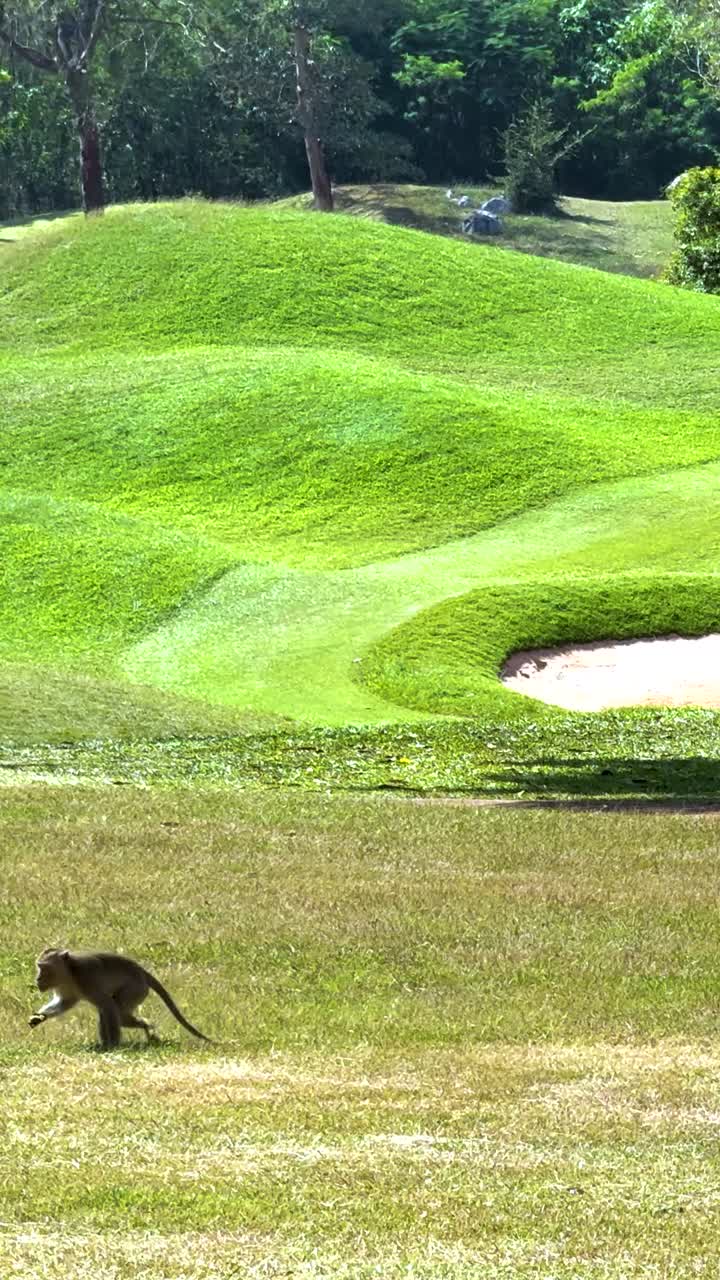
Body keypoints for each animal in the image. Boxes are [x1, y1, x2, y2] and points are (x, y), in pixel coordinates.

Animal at [29, 948, 211, 1050]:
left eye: (43, 968)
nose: (37, 979)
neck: (69, 973)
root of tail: (142, 972)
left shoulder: (87, 978)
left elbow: (107, 1004)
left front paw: (113, 1045)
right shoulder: (66, 987)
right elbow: (65, 1003)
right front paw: (39, 1017)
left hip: (135, 989)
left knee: (116, 1011)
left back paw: (144, 1027)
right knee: (111, 1014)